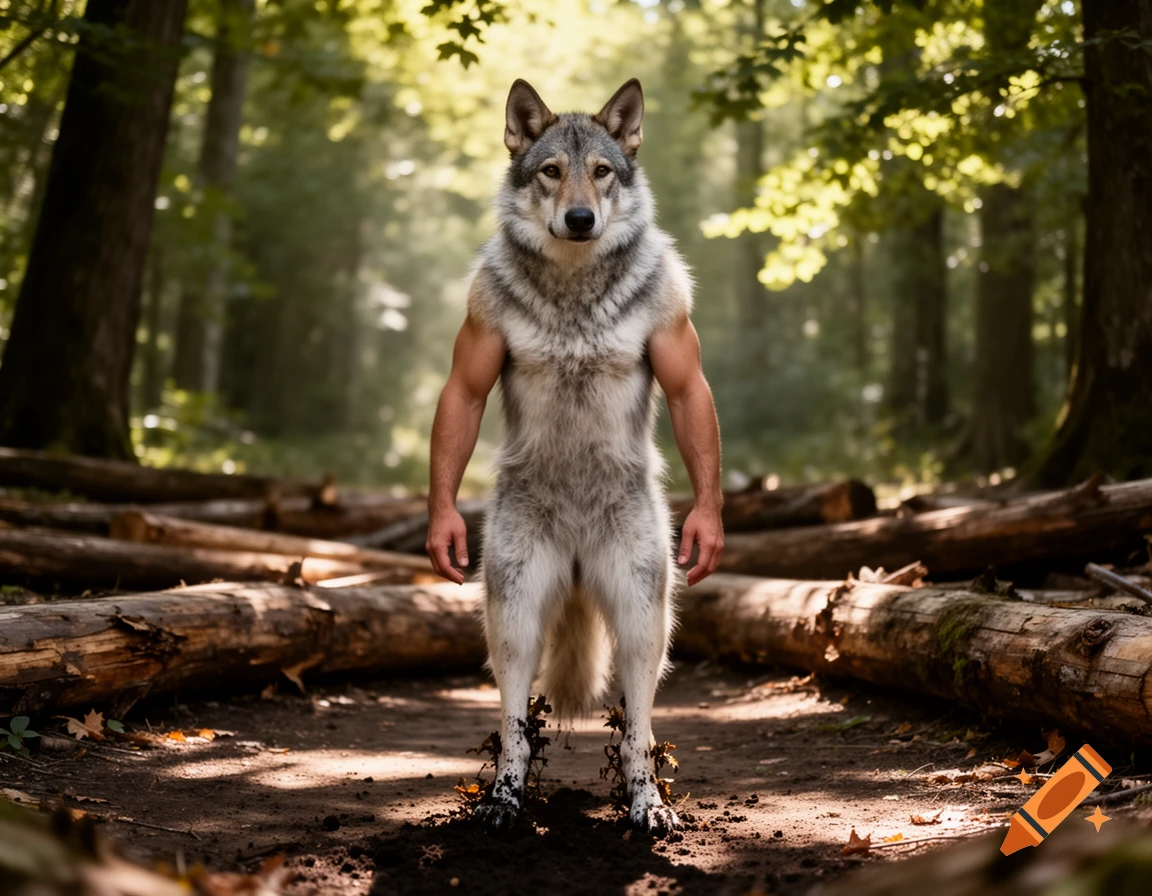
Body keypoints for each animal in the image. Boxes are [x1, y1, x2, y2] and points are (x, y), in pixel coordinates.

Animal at [426, 78, 724, 834]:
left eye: (603, 171)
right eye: (552, 171)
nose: (582, 218)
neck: (574, 283)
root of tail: (581, 567)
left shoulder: (678, 343)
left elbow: (690, 393)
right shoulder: (473, 347)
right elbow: (461, 397)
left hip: (642, 612)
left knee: (638, 726)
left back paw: (647, 804)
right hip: (517, 605)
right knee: (515, 721)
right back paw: (504, 800)